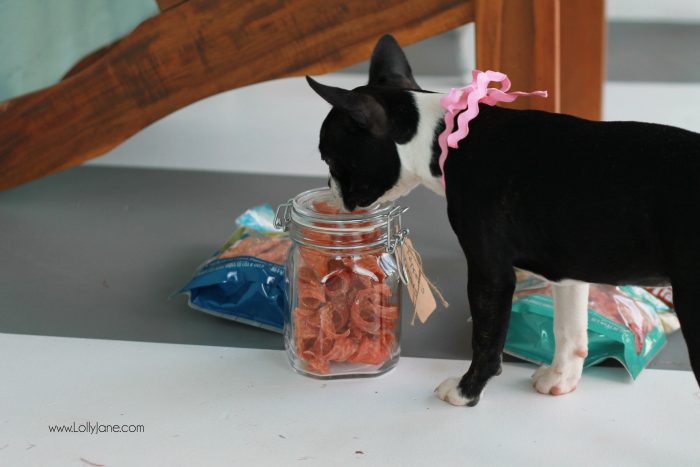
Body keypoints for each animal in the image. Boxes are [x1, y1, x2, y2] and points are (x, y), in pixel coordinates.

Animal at [308, 33, 700, 406]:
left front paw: (467, 392)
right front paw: (561, 378)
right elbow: (569, 329)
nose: (329, 188)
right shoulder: (568, 269)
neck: (443, 137)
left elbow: (486, 339)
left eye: (331, 161)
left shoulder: (489, 271)